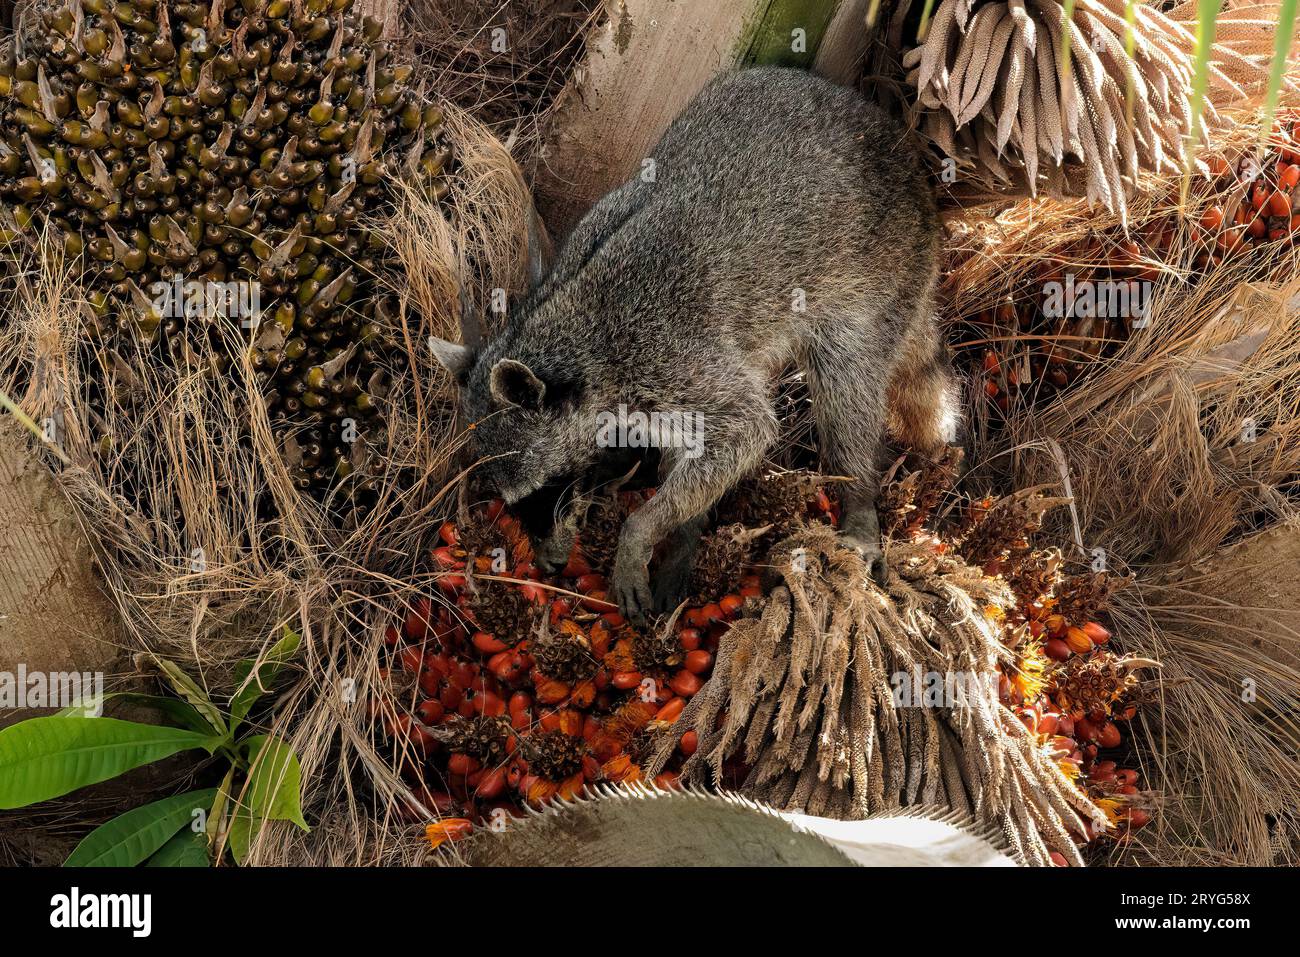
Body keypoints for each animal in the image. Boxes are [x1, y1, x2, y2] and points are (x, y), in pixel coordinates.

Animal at [431, 65, 961, 621]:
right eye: (515, 502)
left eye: (547, 489)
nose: (549, 564)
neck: (568, 326)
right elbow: (696, 448)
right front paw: (677, 530)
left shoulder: (667, 354)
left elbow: (746, 428)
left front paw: (638, 531)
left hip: (879, 277)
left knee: (846, 397)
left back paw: (857, 497)